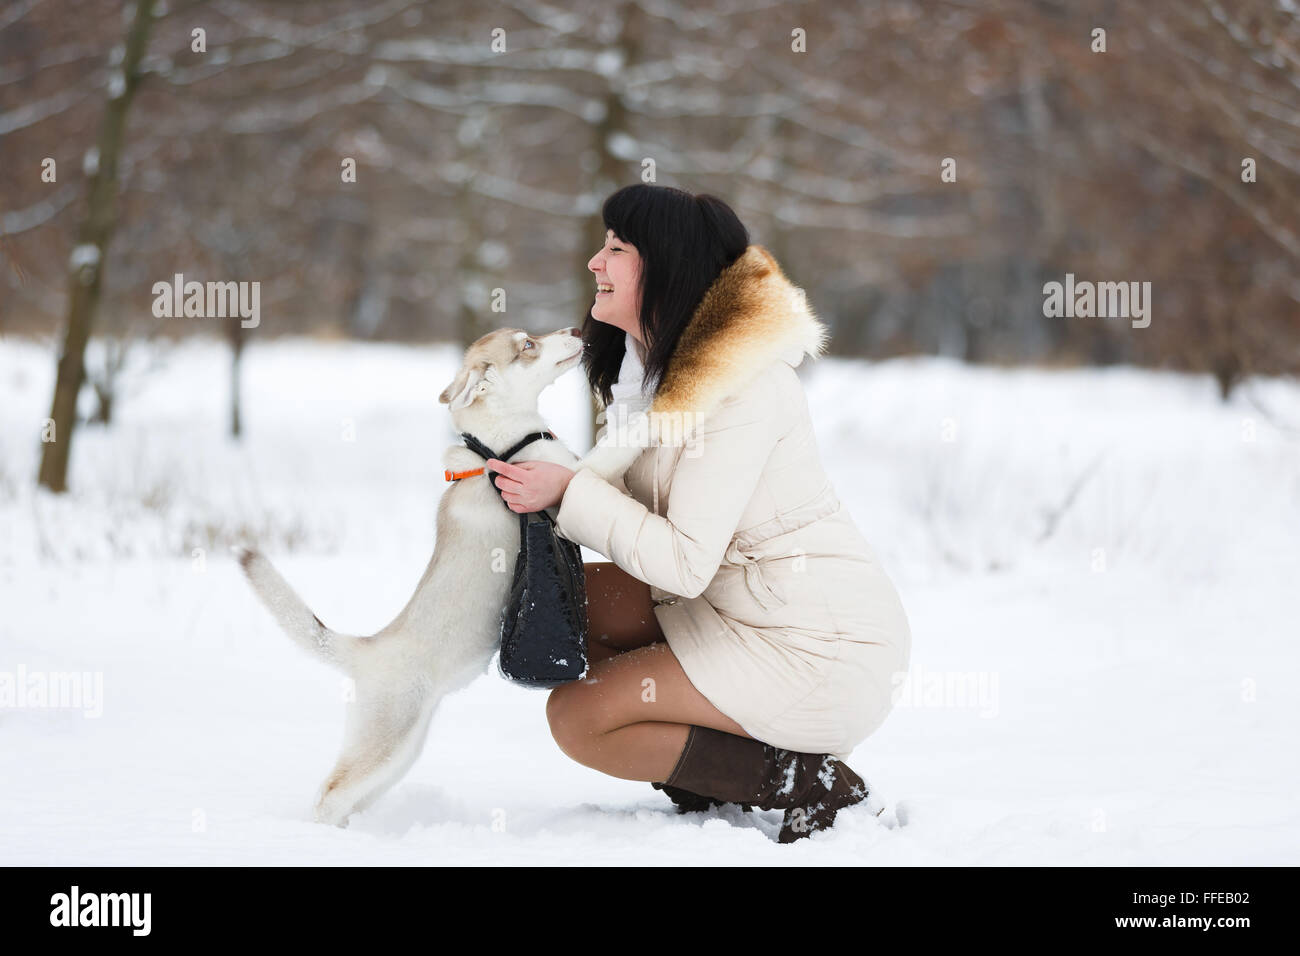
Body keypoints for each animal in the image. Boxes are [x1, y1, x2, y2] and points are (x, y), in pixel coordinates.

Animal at [236, 325, 582, 827]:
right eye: (528, 345)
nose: (575, 329)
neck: (495, 443)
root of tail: (366, 649)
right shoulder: (563, 472)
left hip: (401, 753)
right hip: (388, 737)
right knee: (329, 794)